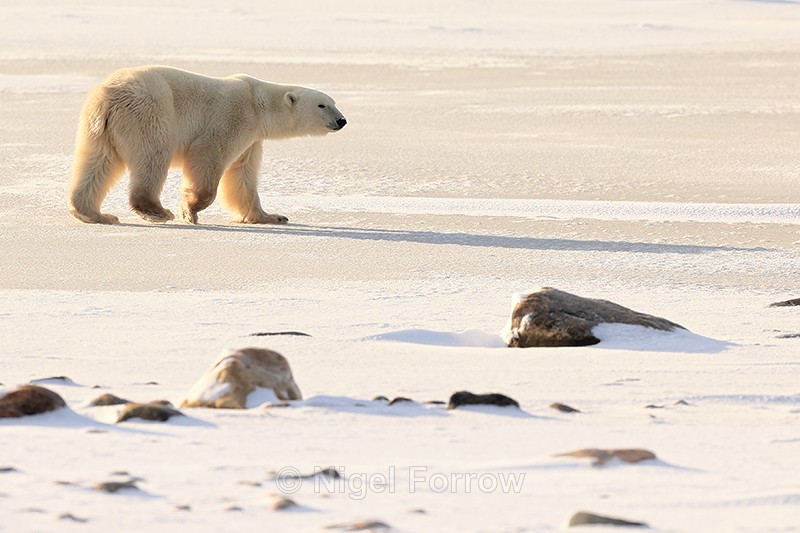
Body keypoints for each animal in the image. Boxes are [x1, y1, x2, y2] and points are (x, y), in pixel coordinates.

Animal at [67, 65, 346, 225]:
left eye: (334, 102)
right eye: (322, 105)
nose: (342, 120)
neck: (258, 103)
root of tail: (107, 96)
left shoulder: (252, 138)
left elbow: (243, 176)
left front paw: (272, 216)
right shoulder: (234, 115)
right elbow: (208, 154)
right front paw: (189, 211)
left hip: (99, 129)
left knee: (97, 163)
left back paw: (94, 214)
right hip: (149, 112)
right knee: (153, 156)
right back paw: (158, 212)